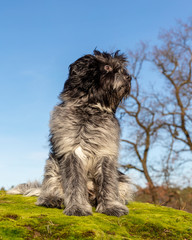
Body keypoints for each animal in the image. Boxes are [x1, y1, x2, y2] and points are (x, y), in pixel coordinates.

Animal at [8, 49, 133, 217]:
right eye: (107, 67)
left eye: (121, 69)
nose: (129, 77)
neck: (90, 108)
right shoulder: (72, 151)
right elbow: (74, 183)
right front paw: (77, 207)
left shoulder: (105, 152)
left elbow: (108, 183)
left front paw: (111, 206)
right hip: (52, 165)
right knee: (49, 187)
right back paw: (51, 198)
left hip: (123, 179)